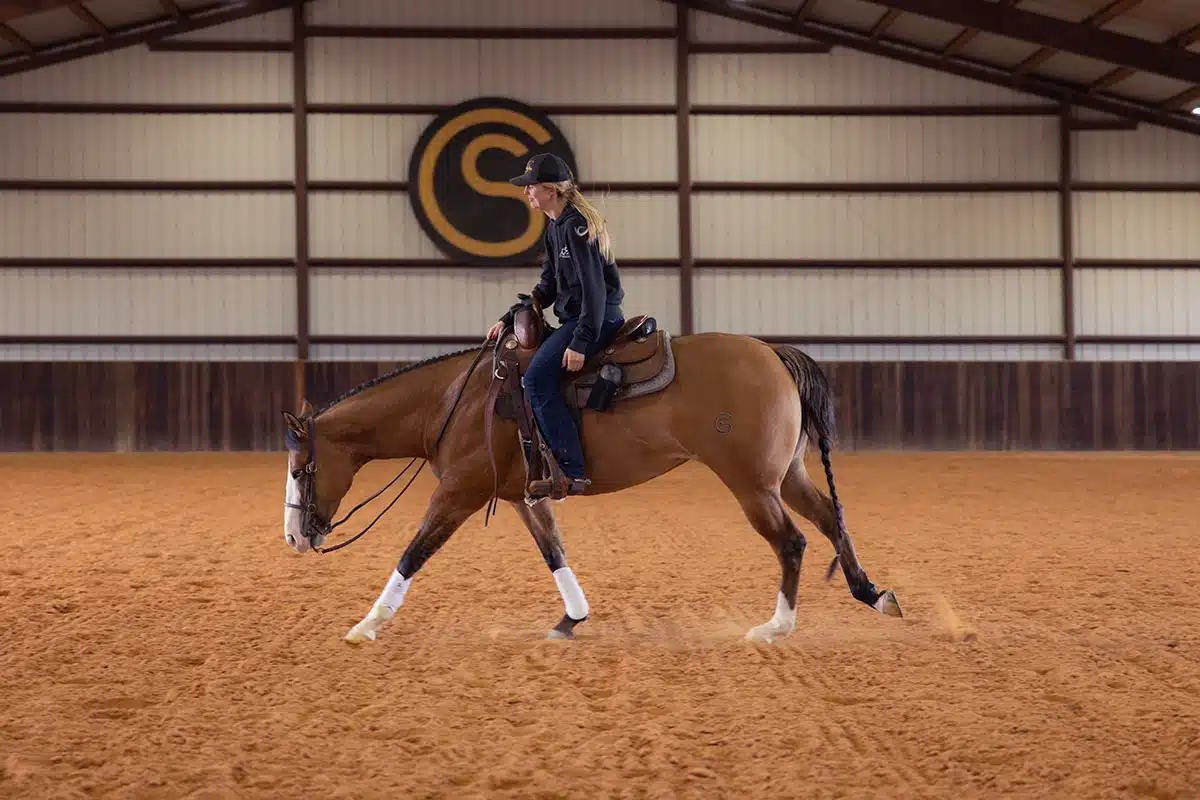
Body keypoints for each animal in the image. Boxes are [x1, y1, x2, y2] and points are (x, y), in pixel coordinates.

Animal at [281, 313, 903, 645]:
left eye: (302, 468)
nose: (294, 537)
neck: (457, 399)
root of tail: (773, 353)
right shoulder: (521, 497)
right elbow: (554, 552)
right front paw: (570, 620)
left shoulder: (459, 492)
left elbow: (413, 553)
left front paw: (367, 624)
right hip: (784, 476)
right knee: (829, 520)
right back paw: (874, 595)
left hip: (752, 485)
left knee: (792, 541)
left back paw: (775, 628)